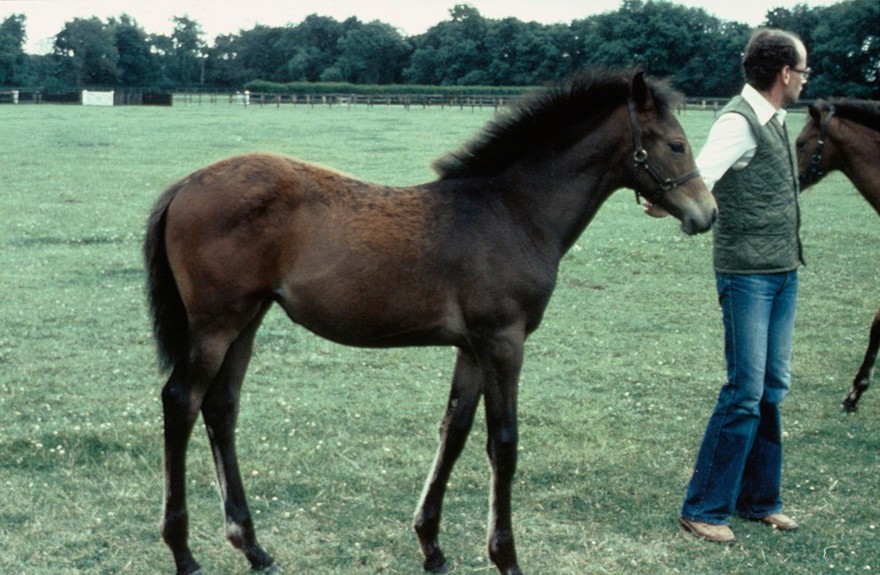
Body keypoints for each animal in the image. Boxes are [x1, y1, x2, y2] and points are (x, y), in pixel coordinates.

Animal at [145, 69, 717, 575]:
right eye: (676, 144)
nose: (706, 214)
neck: (512, 212)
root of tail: (184, 184)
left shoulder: (472, 347)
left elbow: (454, 430)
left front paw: (432, 547)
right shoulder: (504, 341)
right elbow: (502, 443)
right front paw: (505, 557)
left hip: (246, 321)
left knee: (221, 408)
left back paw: (253, 548)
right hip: (215, 325)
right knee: (181, 401)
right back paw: (183, 552)